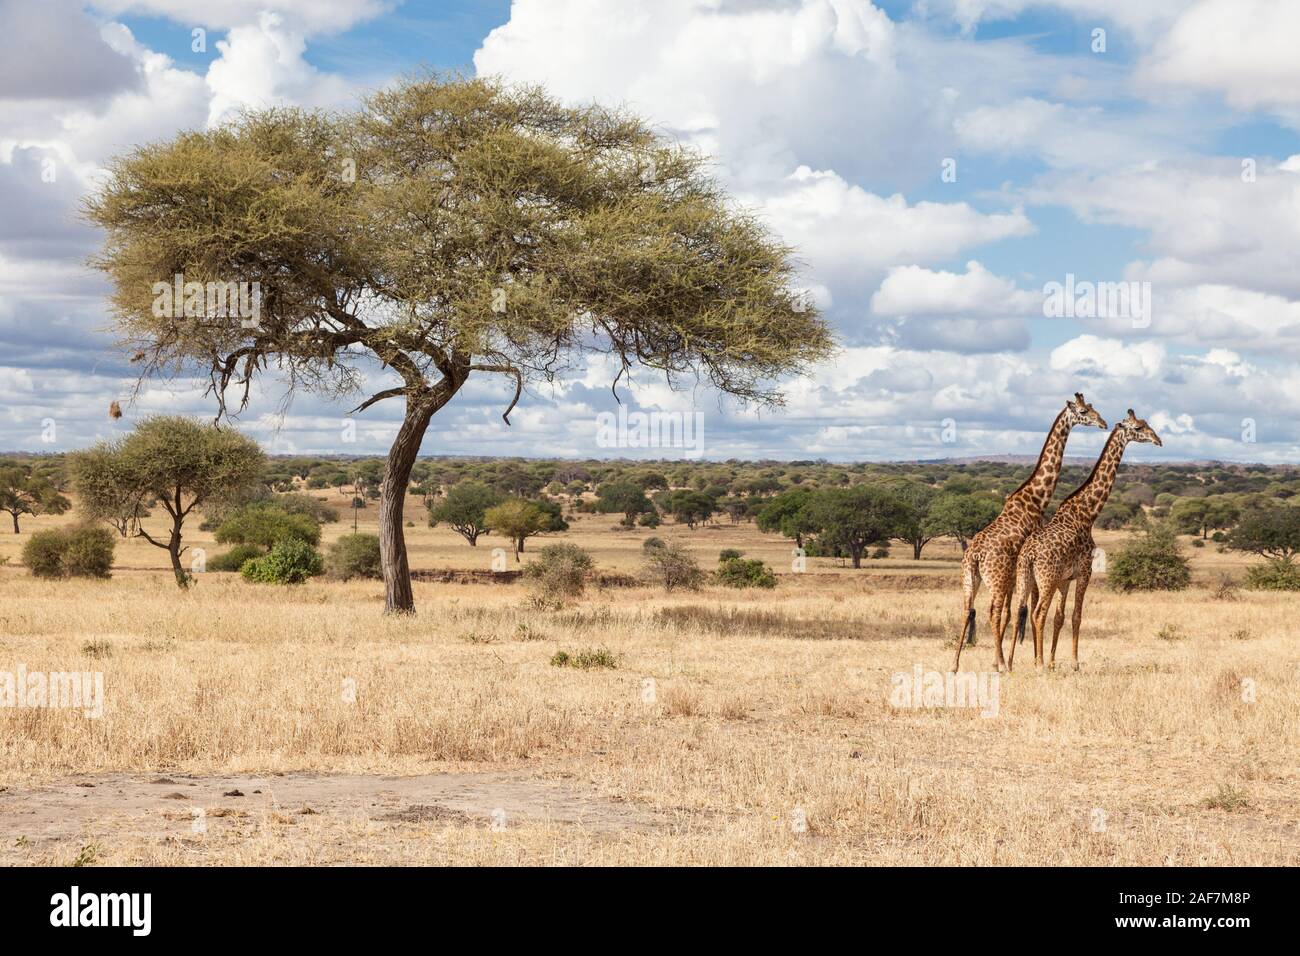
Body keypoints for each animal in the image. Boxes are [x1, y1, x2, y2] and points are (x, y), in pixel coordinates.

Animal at [946, 392, 1107, 676]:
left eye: (1092, 408)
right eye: (1084, 411)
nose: (1102, 422)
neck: (1035, 499)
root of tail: (974, 555)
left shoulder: (1018, 575)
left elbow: (1016, 613)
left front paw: (1013, 659)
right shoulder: (1022, 572)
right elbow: (1025, 610)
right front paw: (1025, 660)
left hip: (970, 577)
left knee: (968, 609)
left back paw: (955, 665)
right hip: (997, 579)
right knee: (993, 611)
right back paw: (1001, 664)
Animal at [1003, 411, 1170, 671]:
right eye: (1138, 428)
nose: (1158, 440)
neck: (1088, 512)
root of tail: (1029, 555)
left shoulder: (1065, 579)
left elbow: (1060, 617)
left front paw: (1054, 662)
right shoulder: (1084, 572)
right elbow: (1076, 616)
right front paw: (1074, 663)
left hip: (1025, 577)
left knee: (1020, 610)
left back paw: (1011, 664)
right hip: (1046, 579)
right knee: (1038, 613)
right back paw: (1038, 664)